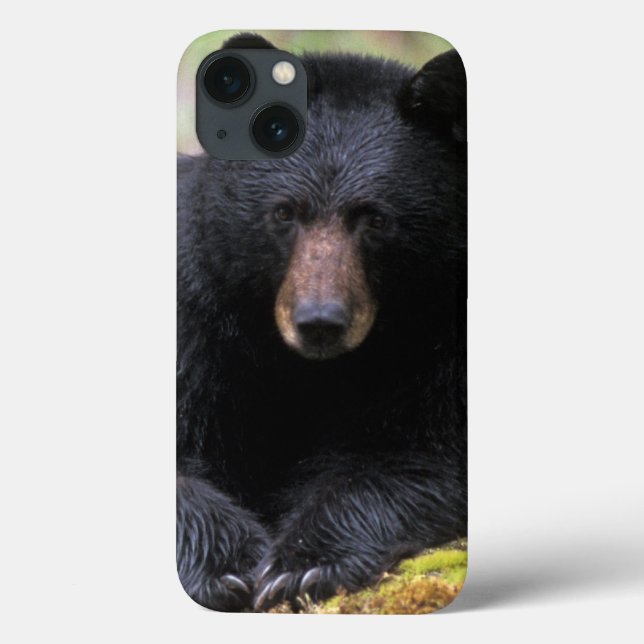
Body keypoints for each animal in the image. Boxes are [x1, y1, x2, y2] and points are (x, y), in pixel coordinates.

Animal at [177, 33, 467, 612]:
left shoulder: (443, 333)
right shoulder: (195, 321)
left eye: (375, 218)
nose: (320, 321)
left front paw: (302, 565)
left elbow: (419, 456)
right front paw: (228, 565)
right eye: (284, 213)